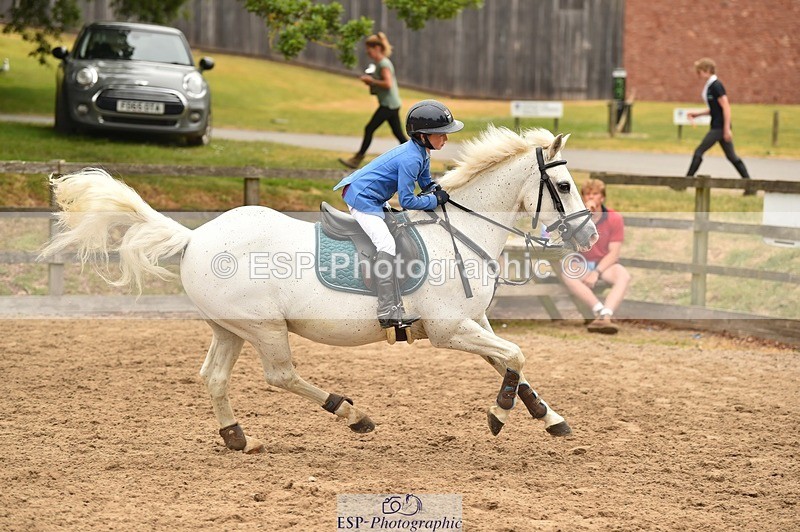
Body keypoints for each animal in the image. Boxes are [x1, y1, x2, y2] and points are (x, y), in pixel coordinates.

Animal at [42, 126, 598, 454]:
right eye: (564, 187)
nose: (590, 236)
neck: (460, 231)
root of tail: (197, 236)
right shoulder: (448, 329)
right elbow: (516, 355)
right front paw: (498, 416)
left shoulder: (471, 322)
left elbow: (510, 364)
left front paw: (550, 419)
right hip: (265, 327)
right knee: (280, 375)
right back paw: (352, 414)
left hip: (230, 328)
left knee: (215, 377)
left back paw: (237, 437)